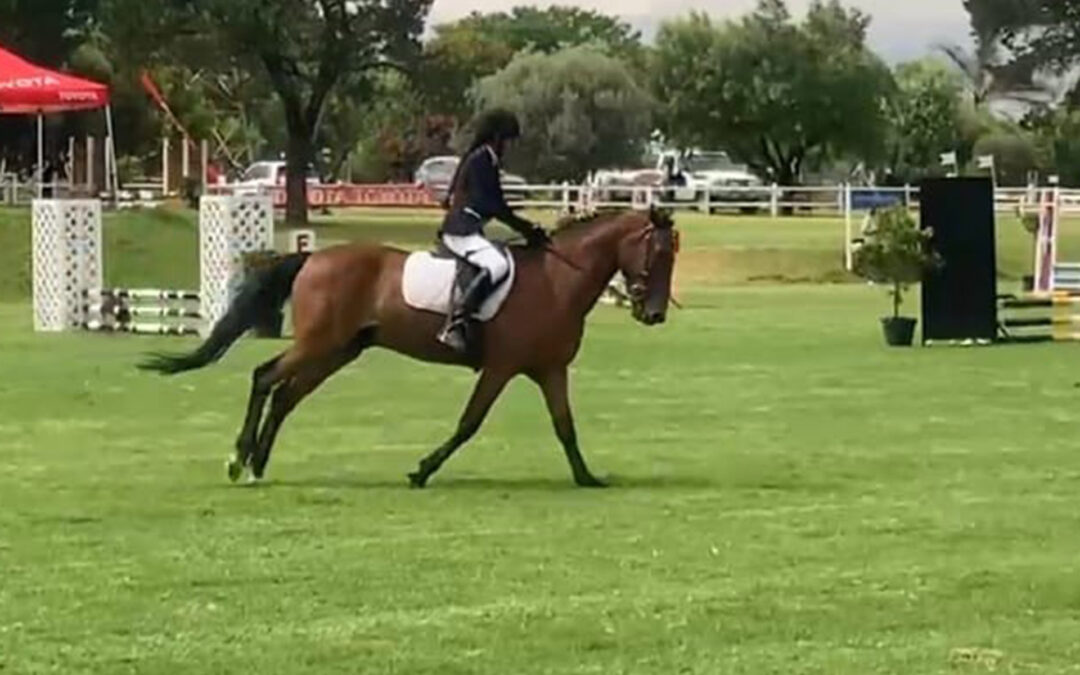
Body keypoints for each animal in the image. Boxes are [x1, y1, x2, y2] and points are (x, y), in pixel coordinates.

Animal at [139, 206, 677, 488]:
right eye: (657, 252)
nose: (654, 315)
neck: (556, 281)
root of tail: (313, 258)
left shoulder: (549, 370)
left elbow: (565, 426)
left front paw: (586, 477)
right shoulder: (501, 368)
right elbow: (468, 424)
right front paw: (422, 470)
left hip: (338, 351)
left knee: (287, 393)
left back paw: (258, 463)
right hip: (320, 343)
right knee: (266, 377)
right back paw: (240, 460)